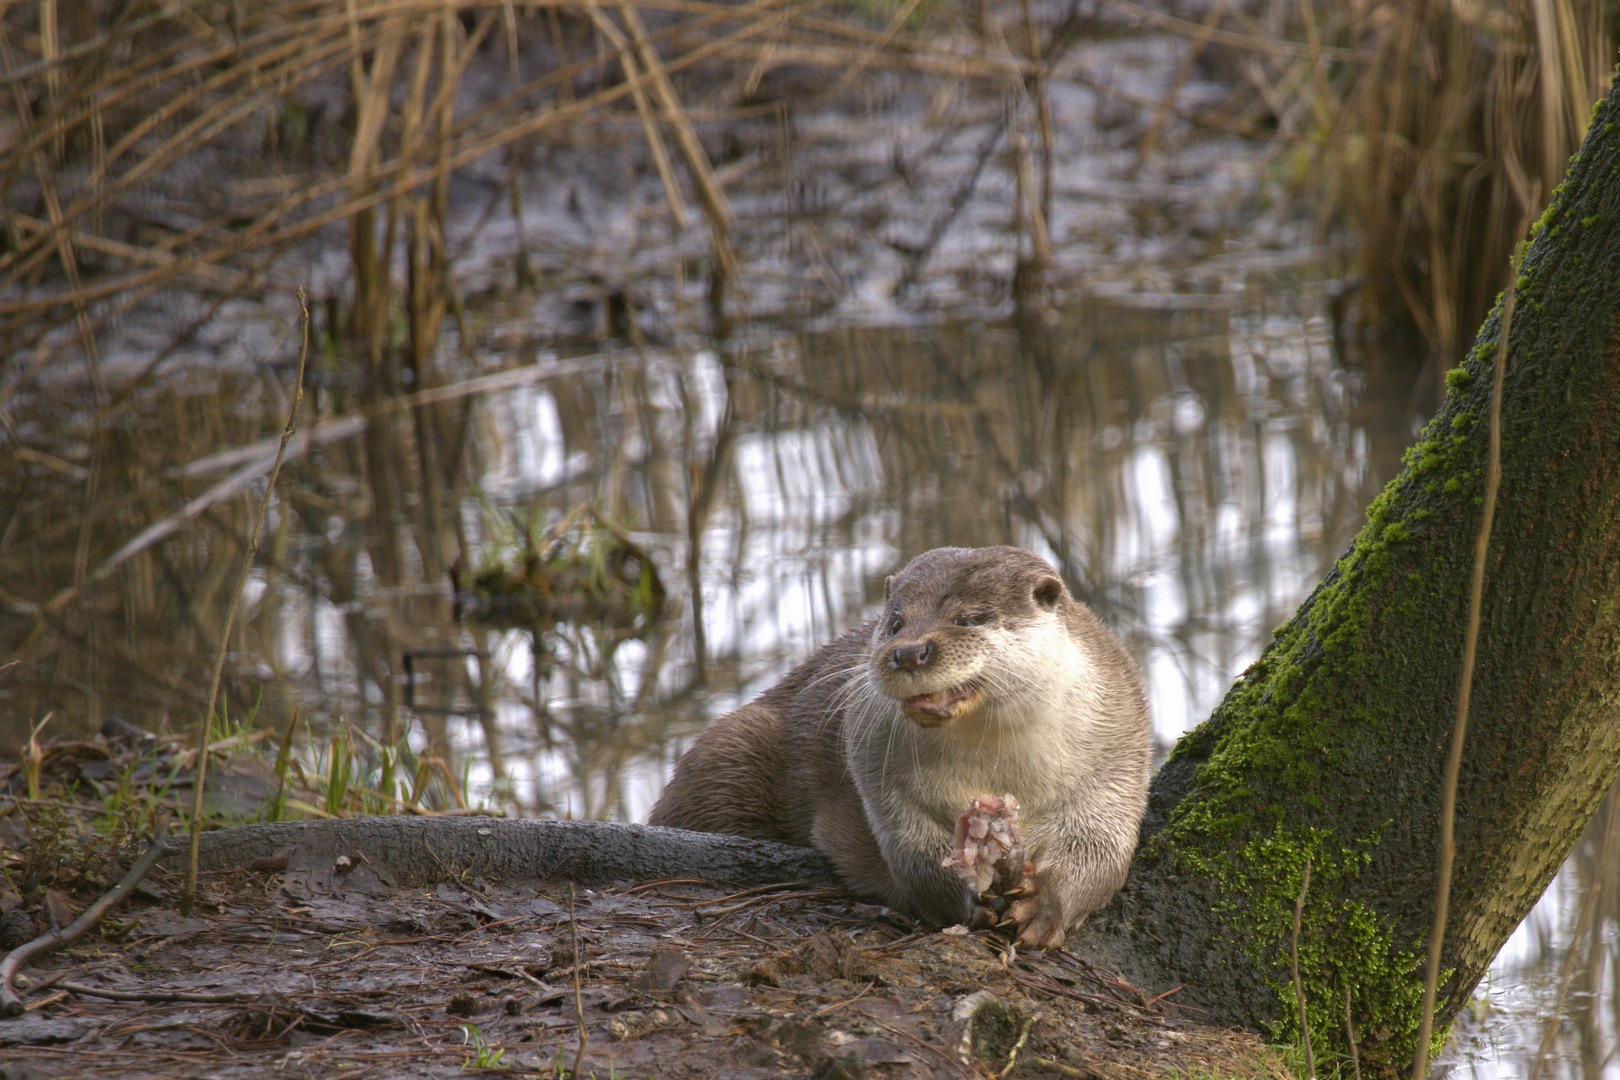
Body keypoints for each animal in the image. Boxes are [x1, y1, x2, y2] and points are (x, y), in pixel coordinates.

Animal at [644, 550, 1153, 945]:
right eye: (895, 623)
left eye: (969, 618)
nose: (908, 651)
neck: (1000, 767)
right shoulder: (878, 772)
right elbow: (911, 850)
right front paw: (964, 899)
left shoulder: (1117, 756)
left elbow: (1102, 852)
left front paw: (1045, 906)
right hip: (732, 747)